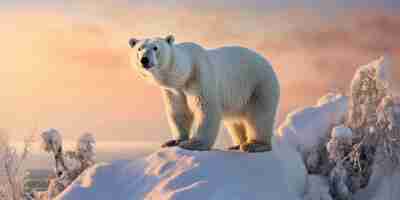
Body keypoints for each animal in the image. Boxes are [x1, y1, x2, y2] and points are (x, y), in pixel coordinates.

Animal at [130, 35, 280, 152]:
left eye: (155, 48)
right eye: (139, 48)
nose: (144, 59)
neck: (185, 72)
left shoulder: (200, 76)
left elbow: (206, 108)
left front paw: (193, 143)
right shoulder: (174, 90)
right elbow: (179, 111)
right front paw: (174, 141)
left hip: (259, 85)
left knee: (259, 115)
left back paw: (254, 145)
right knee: (235, 121)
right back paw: (237, 145)